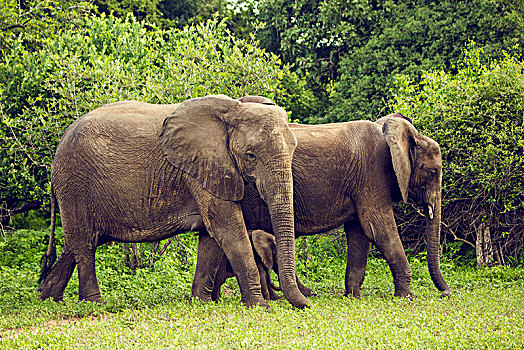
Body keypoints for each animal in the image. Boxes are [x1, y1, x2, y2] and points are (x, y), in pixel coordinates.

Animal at [39, 95, 312, 308]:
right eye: (250, 155)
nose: (309, 303)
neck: (233, 108)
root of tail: (60, 144)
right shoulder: (200, 168)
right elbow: (228, 229)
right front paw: (258, 306)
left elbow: (211, 236)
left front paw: (201, 303)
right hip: (74, 183)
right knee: (84, 243)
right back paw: (93, 304)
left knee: (75, 244)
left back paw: (47, 297)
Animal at [194, 99, 452, 300]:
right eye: (433, 172)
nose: (446, 293)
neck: (388, 129)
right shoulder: (372, 174)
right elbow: (379, 228)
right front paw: (406, 297)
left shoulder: (362, 180)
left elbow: (360, 234)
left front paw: (353, 297)